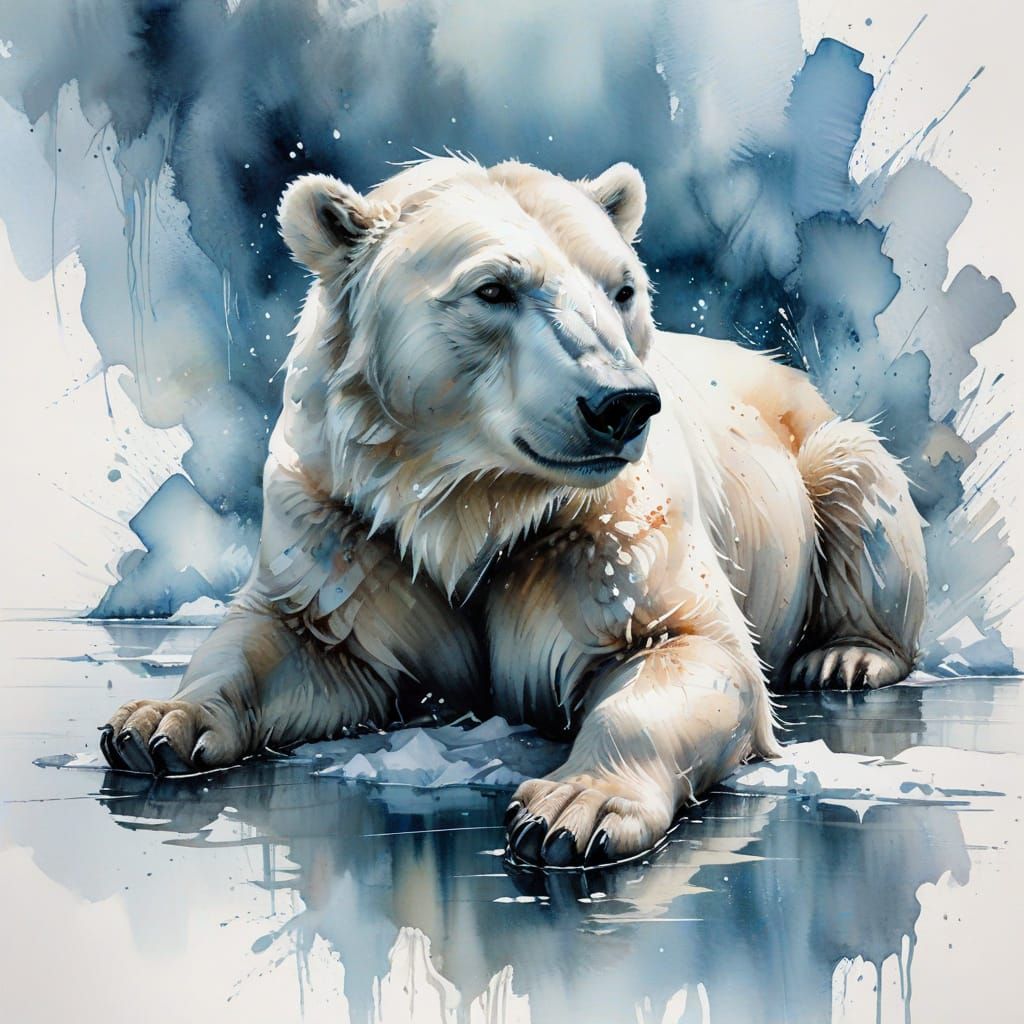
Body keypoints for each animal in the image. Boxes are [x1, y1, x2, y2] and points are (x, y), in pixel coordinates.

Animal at [100, 156, 927, 868]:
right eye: (494, 288)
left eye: (622, 288)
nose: (622, 405)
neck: (475, 504)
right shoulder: (349, 521)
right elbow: (287, 638)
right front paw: (157, 721)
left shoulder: (603, 530)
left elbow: (691, 648)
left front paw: (576, 808)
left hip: (816, 444)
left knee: (858, 480)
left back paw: (847, 655)